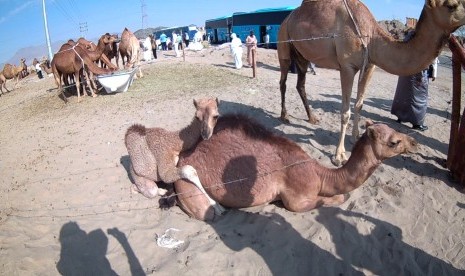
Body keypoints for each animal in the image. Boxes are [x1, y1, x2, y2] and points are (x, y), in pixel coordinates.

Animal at [173, 113, 416, 221]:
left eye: (397, 132)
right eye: (394, 141)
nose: (414, 142)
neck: (321, 174)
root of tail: (184, 154)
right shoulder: (296, 200)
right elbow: (332, 199)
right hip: (185, 187)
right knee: (206, 212)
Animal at [278, 0, 464, 166]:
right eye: (451, 5)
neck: (372, 36)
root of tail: (288, 18)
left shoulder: (369, 66)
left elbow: (359, 105)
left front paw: (355, 138)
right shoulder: (347, 67)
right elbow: (345, 112)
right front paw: (339, 156)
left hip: (302, 55)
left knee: (300, 84)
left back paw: (312, 118)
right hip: (284, 44)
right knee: (283, 81)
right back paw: (284, 116)